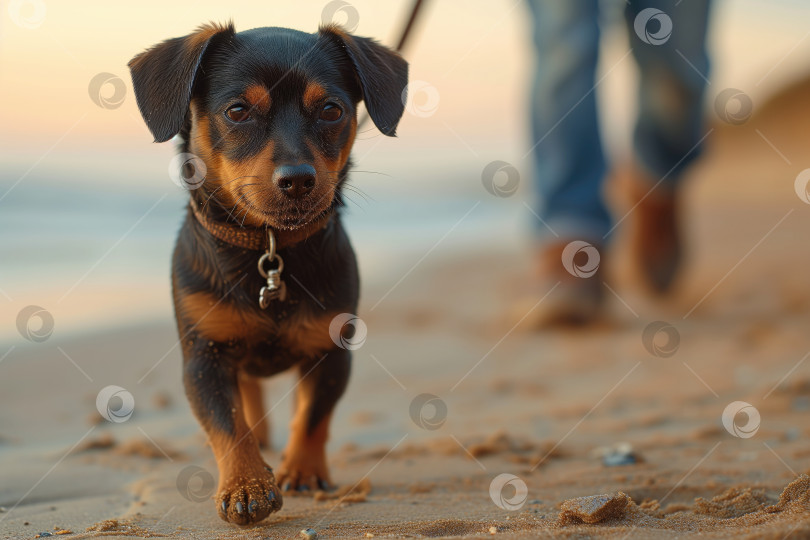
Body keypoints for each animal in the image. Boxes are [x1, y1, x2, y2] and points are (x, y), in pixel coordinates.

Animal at [129, 23, 408, 524]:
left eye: (332, 110)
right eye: (238, 110)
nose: (297, 179)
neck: (271, 249)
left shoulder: (330, 353)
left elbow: (314, 415)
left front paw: (303, 470)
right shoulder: (204, 359)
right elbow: (228, 423)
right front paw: (247, 484)